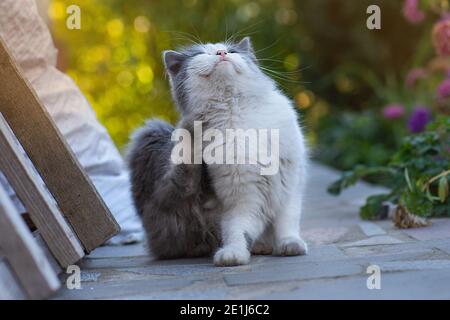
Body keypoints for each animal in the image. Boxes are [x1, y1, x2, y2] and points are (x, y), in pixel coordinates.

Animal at [128, 37, 308, 268]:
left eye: (231, 50)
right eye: (201, 54)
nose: (221, 53)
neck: (234, 108)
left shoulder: (289, 186)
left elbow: (286, 223)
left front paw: (290, 245)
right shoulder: (241, 196)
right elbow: (237, 230)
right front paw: (232, 254)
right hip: (152, 137)